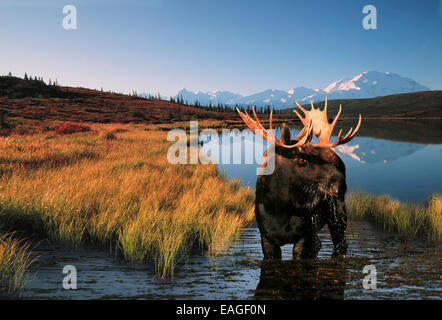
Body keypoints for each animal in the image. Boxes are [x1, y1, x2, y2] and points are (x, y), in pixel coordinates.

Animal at [237, 100, 360, 260]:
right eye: (302, 160)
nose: (340, 184)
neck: (280, 208)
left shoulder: (304, 236)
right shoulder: (267, 238)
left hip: (338, 215)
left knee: (340, 244)